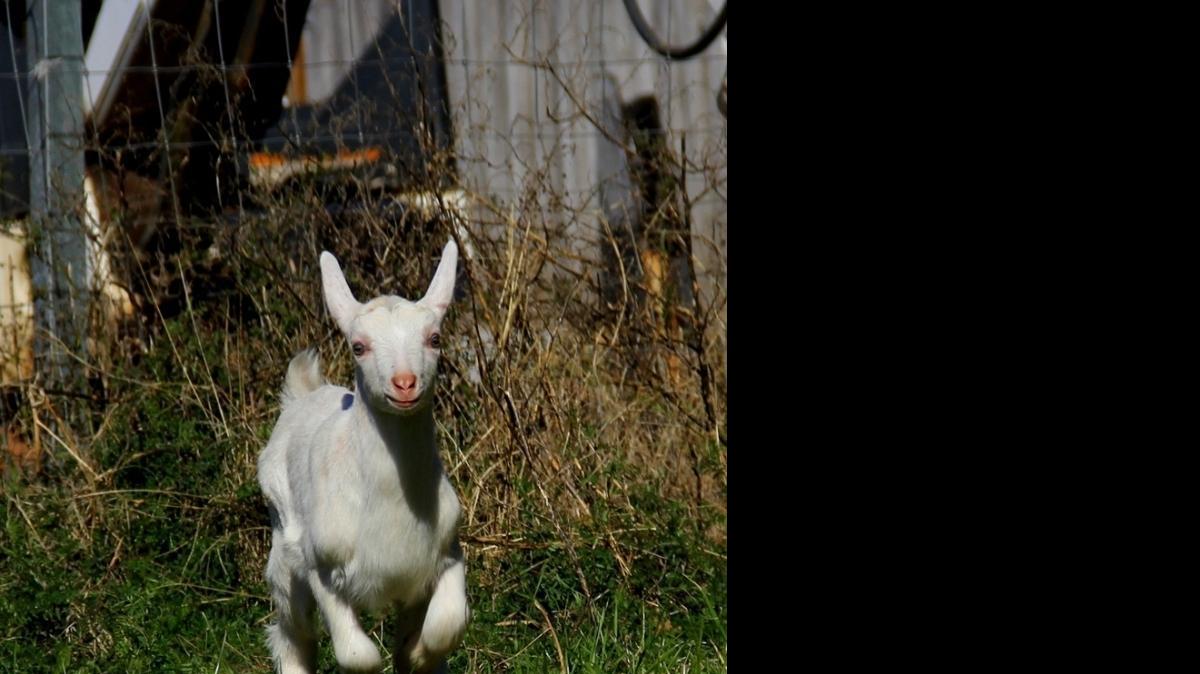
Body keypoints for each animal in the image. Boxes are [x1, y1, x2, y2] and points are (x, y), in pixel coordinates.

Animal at [257, 240, 469, 673]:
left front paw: (414, 652)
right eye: (358, 346)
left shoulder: (445, 553)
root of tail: (303, 394)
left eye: (434, 338)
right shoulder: (322, 567)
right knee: (292, 632)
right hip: (284, 548)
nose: (404, 383)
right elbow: (359, 656)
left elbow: (446, 626)